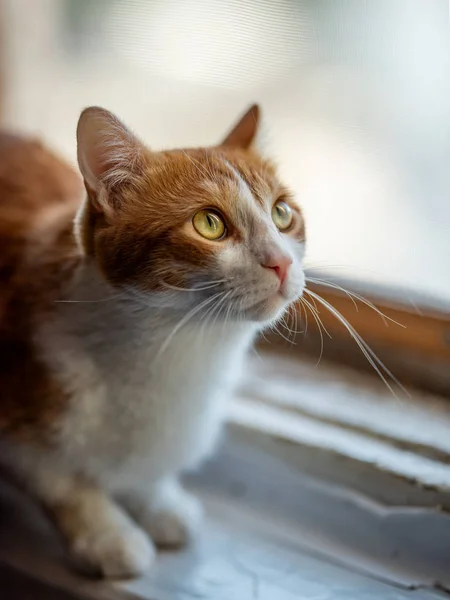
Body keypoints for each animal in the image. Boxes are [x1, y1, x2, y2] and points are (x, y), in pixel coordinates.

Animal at [0, 105, 306, 580]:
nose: (282, 262)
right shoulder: (19, 429)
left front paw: (156, 500)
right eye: (209, 224)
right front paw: (106, 532)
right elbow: (61, 481)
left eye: (282, 213)